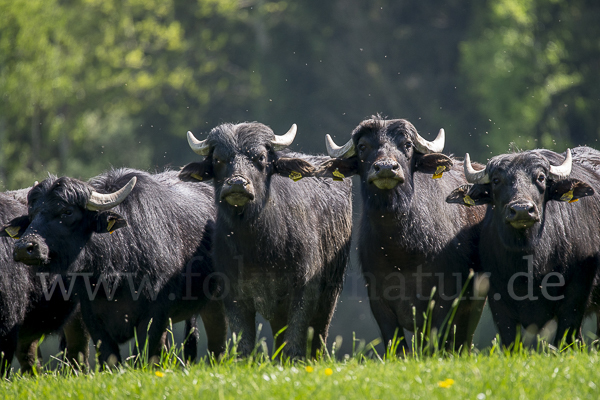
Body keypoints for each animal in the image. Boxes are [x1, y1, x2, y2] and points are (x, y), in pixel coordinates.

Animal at [180, 122, 354, 356]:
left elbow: (295, 342)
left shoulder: (304, 290)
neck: (259, 248)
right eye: (217, 159)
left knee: (319, 336)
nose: (237, 184)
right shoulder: (234, 294)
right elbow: (244, 345)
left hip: (330, 293)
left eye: (260, 157)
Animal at [322, 116, 486, 354]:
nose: (386, 167)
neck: (402, 249)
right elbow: (397, 347)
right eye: (362, 146)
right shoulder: (379, 301)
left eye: (407, 145)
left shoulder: (444, 300)